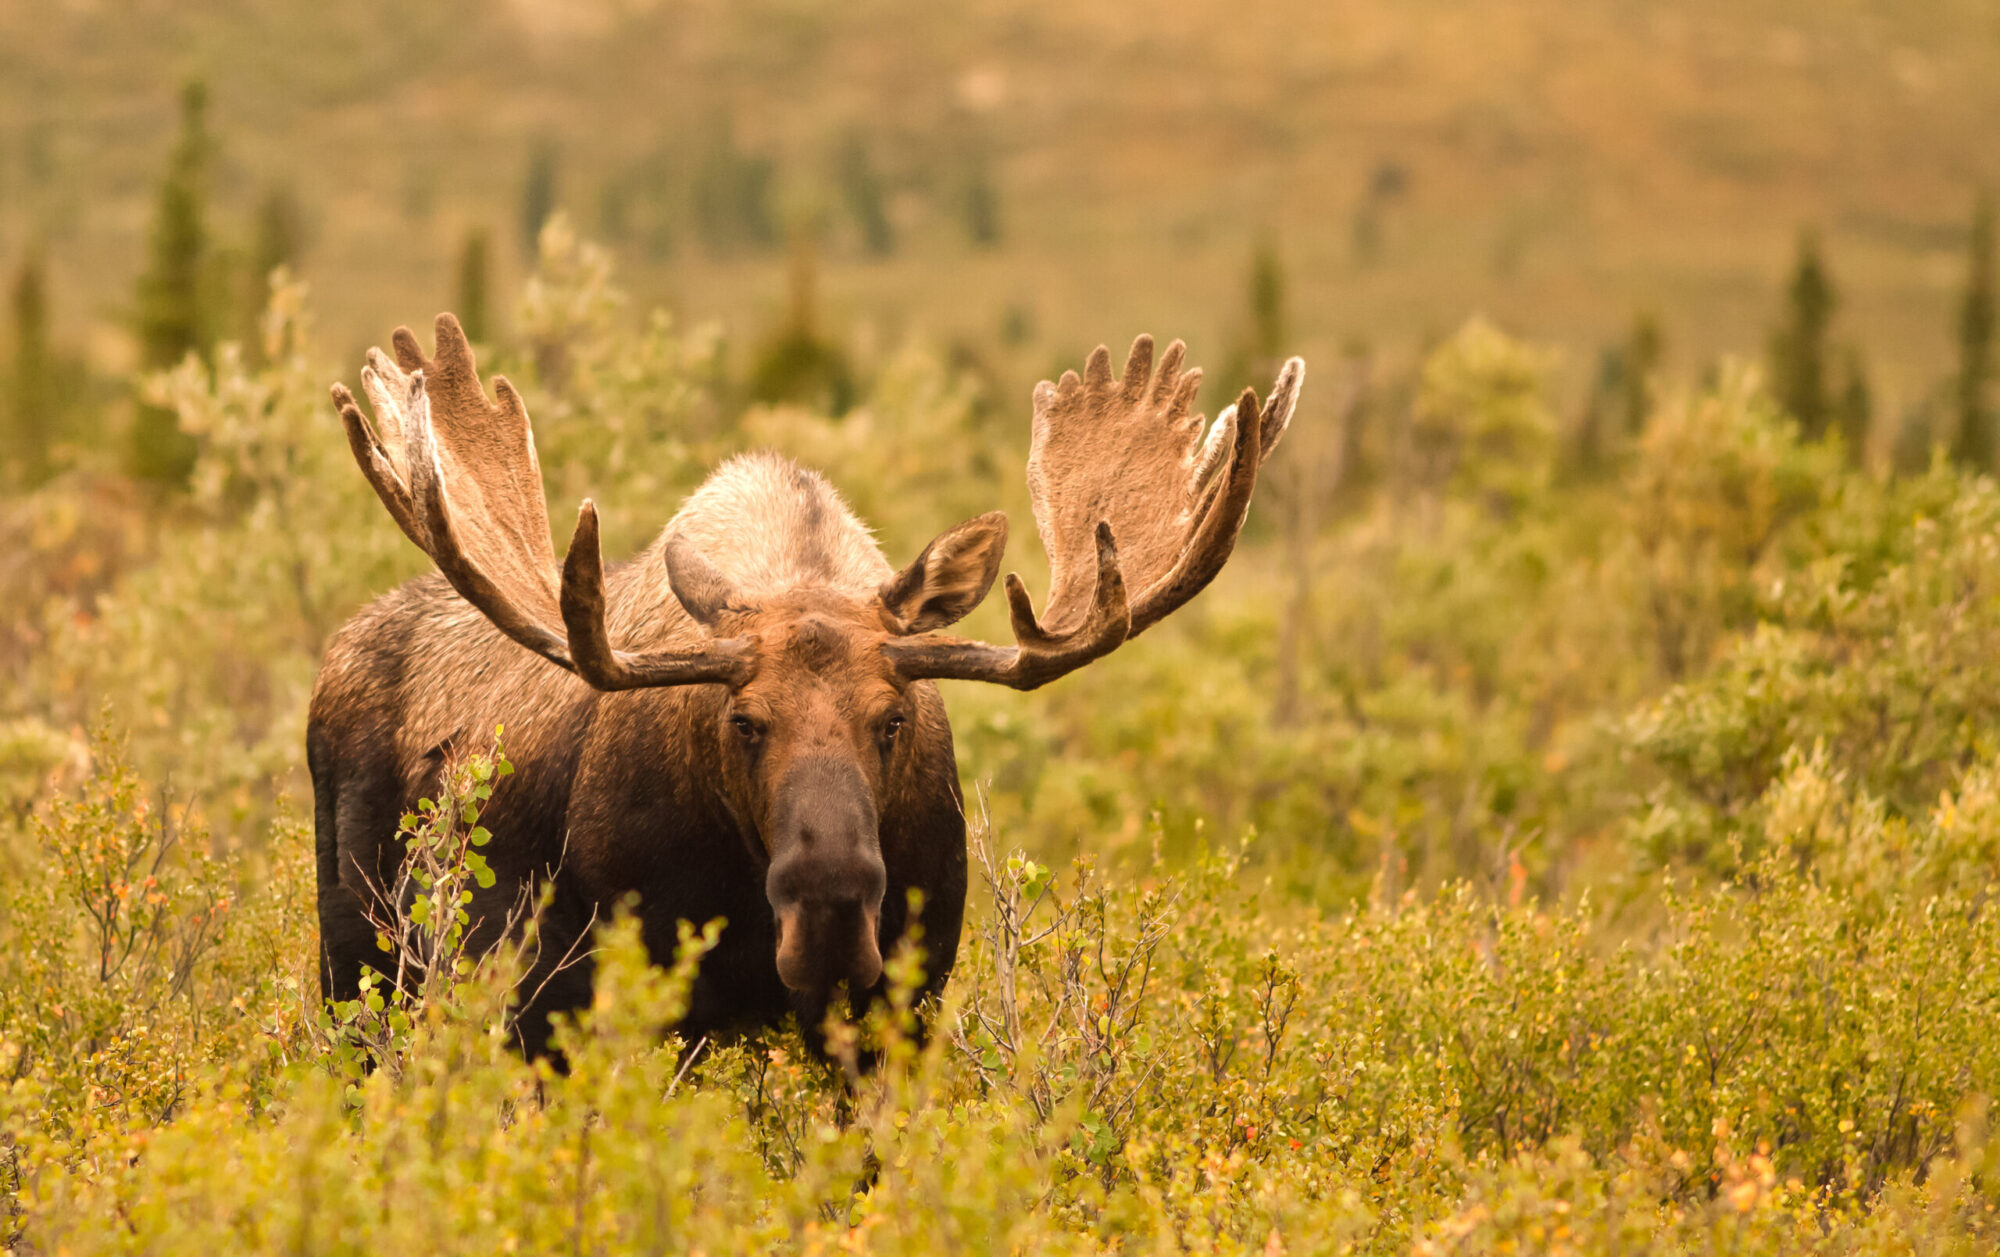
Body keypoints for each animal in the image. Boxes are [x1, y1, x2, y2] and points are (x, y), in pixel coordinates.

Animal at [310, 310, 1304, 1056]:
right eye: (744, 720)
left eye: (893, 720)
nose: (829, 905)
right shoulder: (616, 998)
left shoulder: (901, 1001)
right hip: (362, 956)